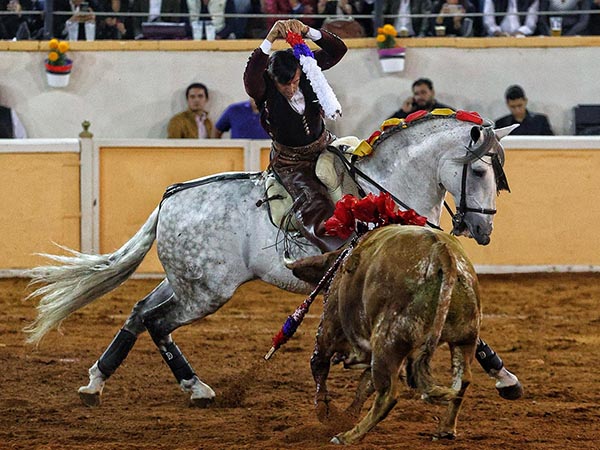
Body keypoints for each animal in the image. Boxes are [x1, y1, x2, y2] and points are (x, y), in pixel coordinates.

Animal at [24, 113, 520, 408]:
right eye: (479, 169)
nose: (483, 230)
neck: (387, 189)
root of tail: (170, 198)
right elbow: (468, 331)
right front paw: (505, 377)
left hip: (183, 281)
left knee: (138, 311)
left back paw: (96, 381)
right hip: (206, 292)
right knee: (156, 322)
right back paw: (195, 388)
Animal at [312, 225, 480, 442]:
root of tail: (441, 251)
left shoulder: (329, 328)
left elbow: (319, 363)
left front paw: (325, 411)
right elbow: (365, 383)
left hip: (387, 341)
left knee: (388, 395)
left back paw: (348, 436)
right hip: (465, 337)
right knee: (462, 380)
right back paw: (445, 429)